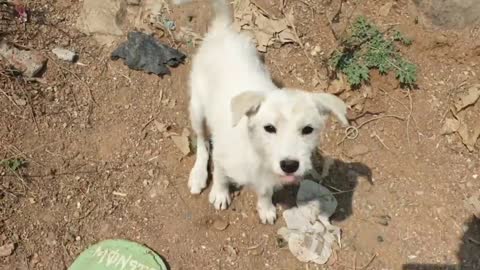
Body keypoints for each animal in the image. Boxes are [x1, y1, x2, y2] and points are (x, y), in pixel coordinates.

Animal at [186, 0, 346, 224]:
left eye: (307, 130)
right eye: (269, 128)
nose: (290, 165)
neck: (257, 153)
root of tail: (222, 31)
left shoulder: (269, 177)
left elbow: (265, 191)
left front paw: (265, 207)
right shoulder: (221, 154)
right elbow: (220, 174)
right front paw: (219, 193)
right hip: (197, 109)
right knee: (202, 142)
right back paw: (199, 174)